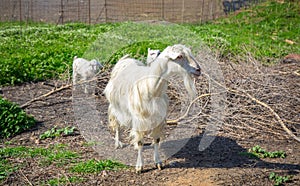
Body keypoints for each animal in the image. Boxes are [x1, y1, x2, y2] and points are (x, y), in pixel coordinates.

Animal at [104, 44, 200, 174]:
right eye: (179, 56)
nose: (198, 70)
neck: (151, 87)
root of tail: (126, 59)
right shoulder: (139, 119)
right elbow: (140, 142)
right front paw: (139, 167)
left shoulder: (158, 119)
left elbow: (156, 140)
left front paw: (158, 163)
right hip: (114, 106)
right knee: (117, 124)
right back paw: (118, 143)